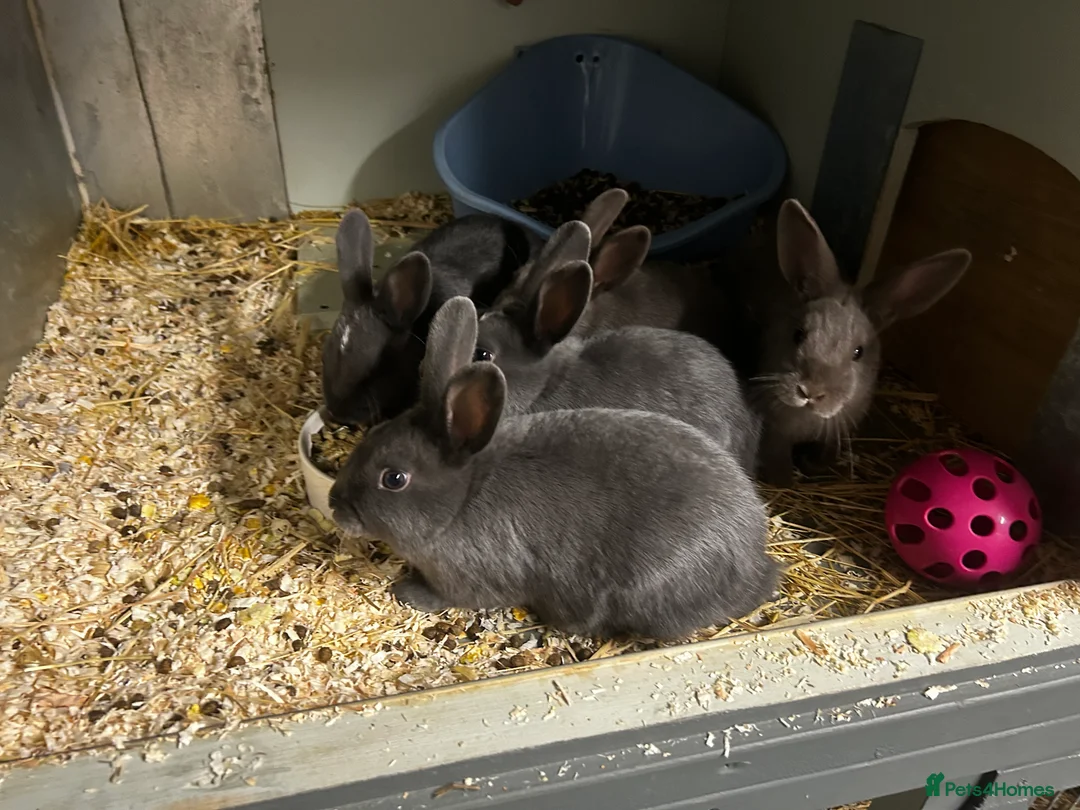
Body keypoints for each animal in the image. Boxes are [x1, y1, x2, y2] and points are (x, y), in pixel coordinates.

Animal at [327, 296, 779, 640]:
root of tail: (757, 564)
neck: (460, 499)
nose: (334, 503)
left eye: (394, 478)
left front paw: (408, 592)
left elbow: (451, 597)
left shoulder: (471, 577)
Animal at [718, 198, 972, 488]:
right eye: (798, 334)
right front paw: (784, 480)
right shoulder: (775, 432)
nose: (810, 391)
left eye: (858, 352)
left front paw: (813, 467)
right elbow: (778, 461)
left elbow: (825, 454)